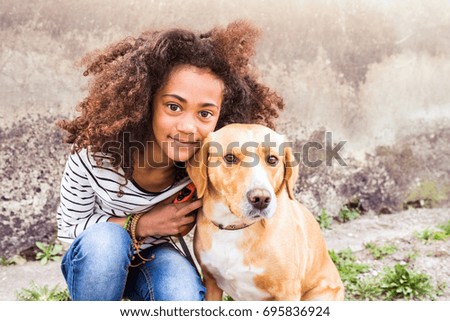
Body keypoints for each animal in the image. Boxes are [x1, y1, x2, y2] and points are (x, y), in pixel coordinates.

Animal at [186, 123, 344, 300]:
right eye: (230, 158)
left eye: (272, 159)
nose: (261, 199)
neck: (235, 227)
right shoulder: (211, 282)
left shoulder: (287, 292)